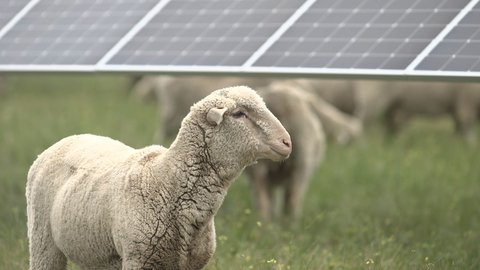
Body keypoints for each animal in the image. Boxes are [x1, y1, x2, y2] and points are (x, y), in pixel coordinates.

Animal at [27, 86, 292, 270]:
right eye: (239, 114)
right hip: (43, 243)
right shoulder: (139, 259)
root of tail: (69, 138)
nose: (287, 142)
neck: (166, 181)